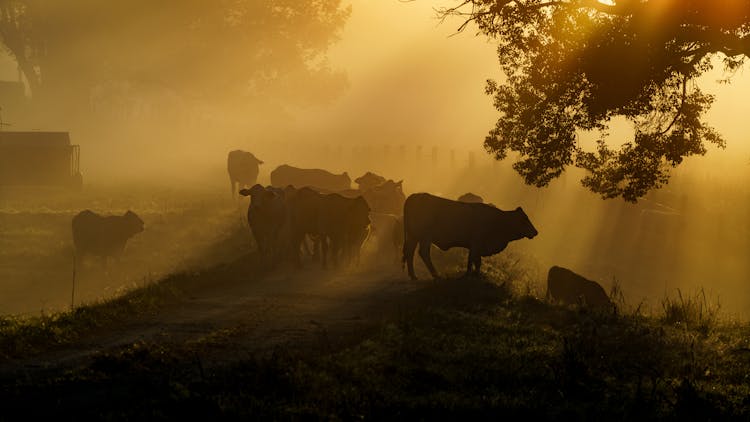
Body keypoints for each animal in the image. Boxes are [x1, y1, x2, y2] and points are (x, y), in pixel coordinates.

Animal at [402, 194, 536, 280]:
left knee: (410, 252)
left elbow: (475, 260)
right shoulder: (476, 244)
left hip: (414, 236)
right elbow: (474, 260)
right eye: (524, 219)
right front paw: (470, 275)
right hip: (425, 237)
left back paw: (413, 276)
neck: (498, 220)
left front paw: (475, 275)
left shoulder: (475, 246)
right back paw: (436, 275)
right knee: (423, 252)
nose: (535, 232)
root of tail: (414, 197)